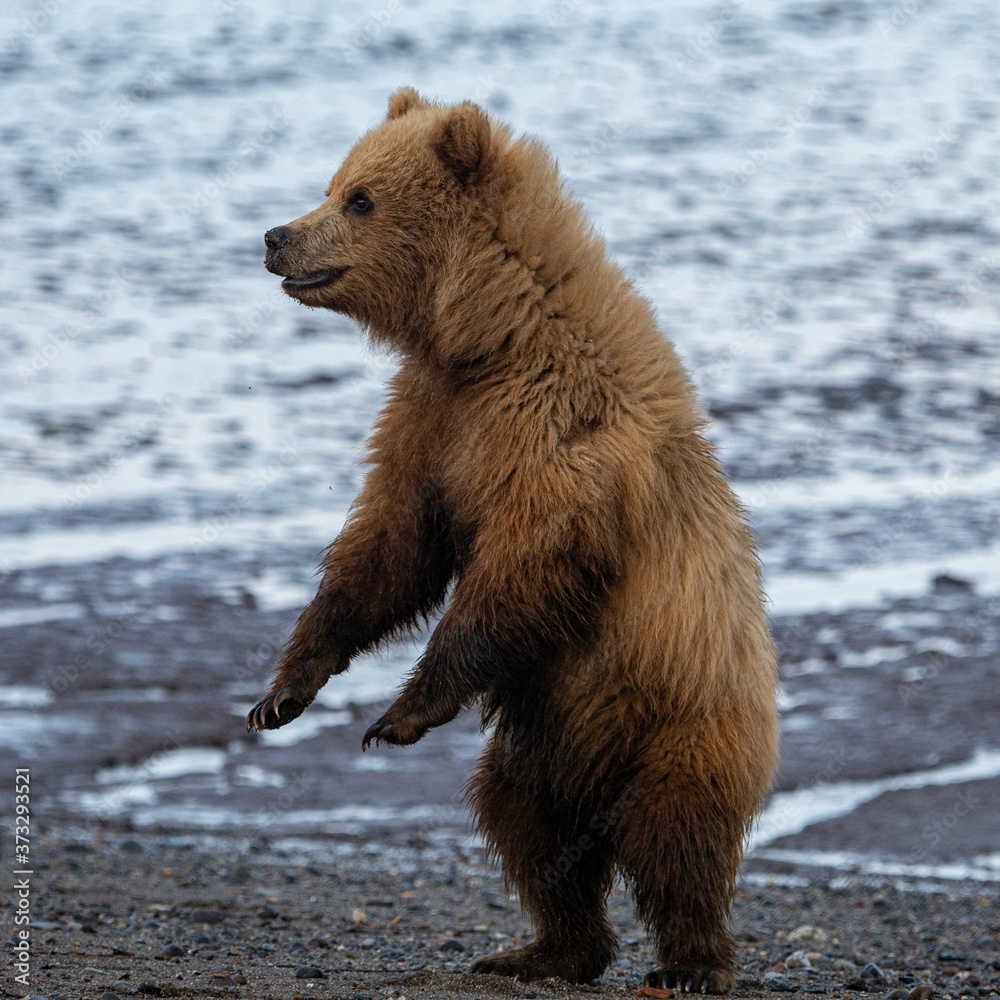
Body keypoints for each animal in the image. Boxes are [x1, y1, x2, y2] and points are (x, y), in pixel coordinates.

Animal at [247, 88, 778, 994]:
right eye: (335, 183)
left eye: (361, 200)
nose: (277, 236)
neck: (488, 335)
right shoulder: (435, 420)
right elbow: (389, 547)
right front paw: (281, 692)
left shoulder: (553, 435)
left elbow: (524, 564)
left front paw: (396, 714)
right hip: (544, 741)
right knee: (528, 830)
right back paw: (540, 949)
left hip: (683, 713)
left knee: (679, 842)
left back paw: (692, 962)